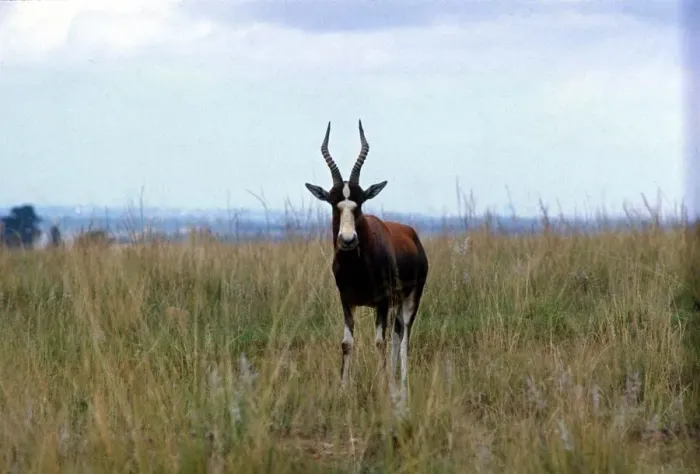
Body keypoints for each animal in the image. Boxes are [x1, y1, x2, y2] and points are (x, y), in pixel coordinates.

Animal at [305, 120, 429, 400]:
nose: (348, 240)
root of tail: (412, 234)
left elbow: (379, 342)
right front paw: (343, 388)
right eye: (333, 203)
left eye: (359, 203)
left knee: (403, 338)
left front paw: (383, 387)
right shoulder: (347, 301)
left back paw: (401, 387)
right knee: (397, 334)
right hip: (395, 304)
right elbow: (347, 343)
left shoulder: (381, 302)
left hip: (409, 299)